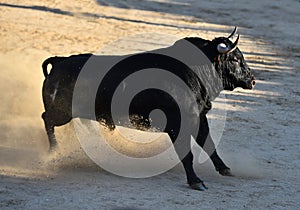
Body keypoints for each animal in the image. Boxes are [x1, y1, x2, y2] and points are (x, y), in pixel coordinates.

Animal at [40, 27, 255, 190]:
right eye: (235, 59)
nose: (252, 80)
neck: (193, 70)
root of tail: (59, 62)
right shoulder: (178, 123)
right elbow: (187, 153)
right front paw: (195, 181)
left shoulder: (199, 118)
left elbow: (208, 144)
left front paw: (225, 169)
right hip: (62, 112)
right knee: (46, 118)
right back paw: (54, 151)